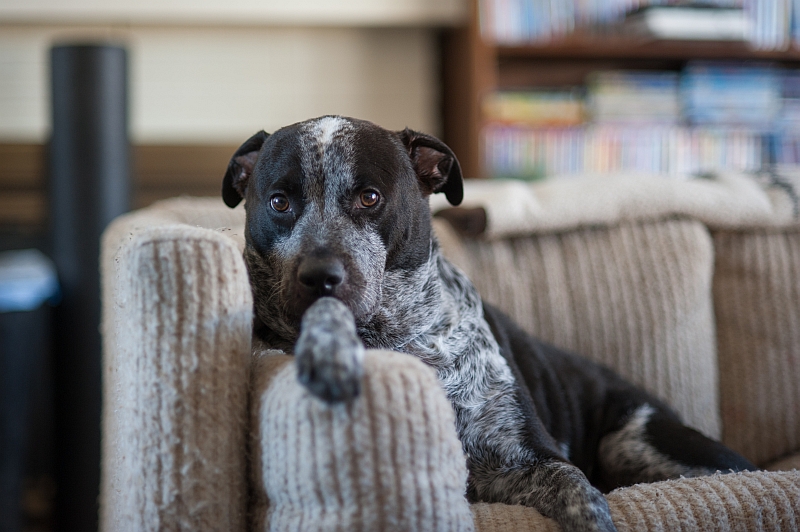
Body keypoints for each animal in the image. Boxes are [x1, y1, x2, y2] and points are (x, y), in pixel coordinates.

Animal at [223, 116, 756, 532]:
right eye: (279, 202)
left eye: (369, 197)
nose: (320, 276)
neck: (403, 336)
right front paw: (328, 356)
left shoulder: (527, 459)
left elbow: (578, 491)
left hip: (634, 439)